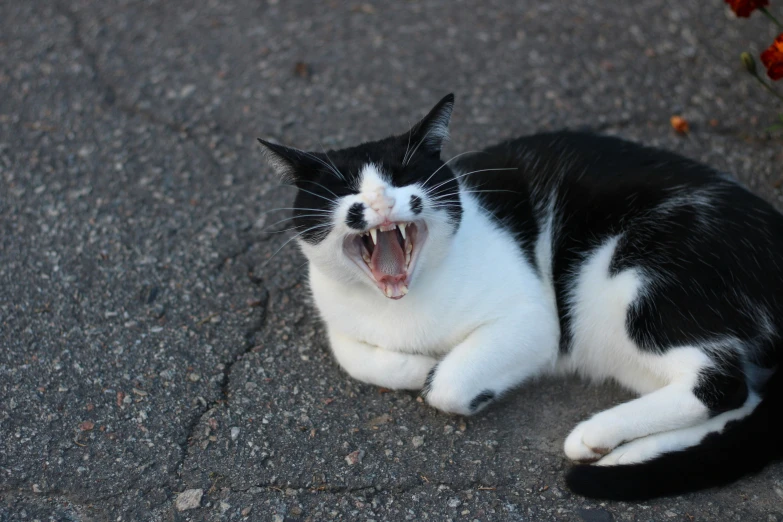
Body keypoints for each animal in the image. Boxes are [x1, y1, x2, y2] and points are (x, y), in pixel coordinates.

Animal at [258, 94, 783, 500]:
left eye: (405, 176)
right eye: (345, 189)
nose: (384, 202)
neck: (404, 307)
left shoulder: (535, 320)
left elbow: (448, 385)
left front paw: (444, 379)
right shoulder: (336, 313)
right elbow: (350, 353)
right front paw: (413, 368)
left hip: (633, 283)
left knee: (722, 385)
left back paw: (595, 436)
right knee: (741, 398)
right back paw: (625, 456)